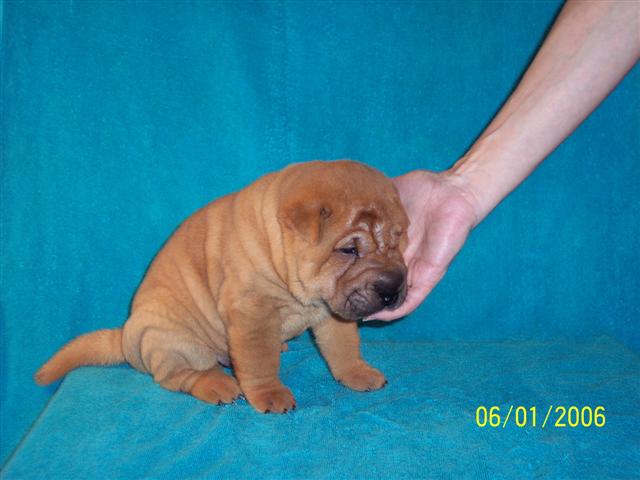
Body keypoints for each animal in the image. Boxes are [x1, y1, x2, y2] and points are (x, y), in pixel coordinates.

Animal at [35, 160, 409, 413]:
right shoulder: (252, 312)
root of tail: (126, 335)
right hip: (171, 339)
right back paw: (217, 383)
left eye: (397, 240)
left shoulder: (333, 309)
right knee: (178, 376)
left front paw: (356, 373)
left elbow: (342, 347)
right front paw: (269, 395)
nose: (392, 288)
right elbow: (258, 361)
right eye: (348, 250)